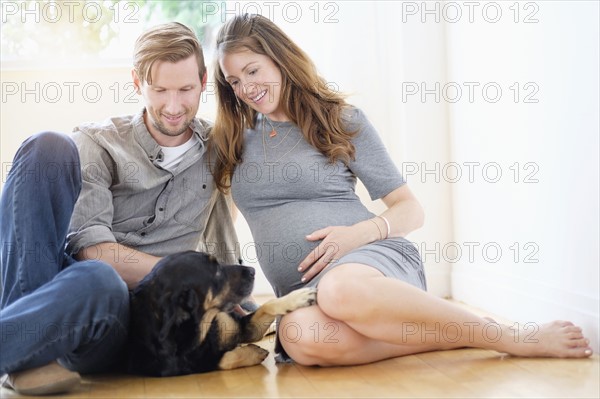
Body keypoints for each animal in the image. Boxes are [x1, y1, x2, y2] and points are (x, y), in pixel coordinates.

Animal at [127, 252, 318, 376]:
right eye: (217, 272)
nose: (253, 271)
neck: (203, 324)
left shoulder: (242, 327)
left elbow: (268, 304)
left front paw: (297, 297)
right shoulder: (187, 365)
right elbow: (224, 359)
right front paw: (253, 352)